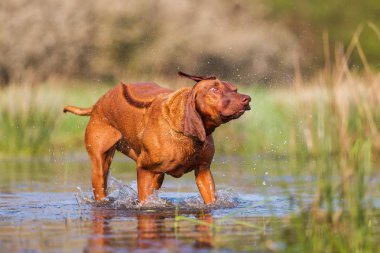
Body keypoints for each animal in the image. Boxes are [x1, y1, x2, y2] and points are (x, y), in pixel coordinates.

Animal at [63, 72, 251, 205]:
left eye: (234, 89)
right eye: (214, 90)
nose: (247, 99)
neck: (186, 131)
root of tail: (97, 104)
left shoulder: (203, 170)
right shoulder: (144, 169)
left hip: (155, 173)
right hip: (100, 166)